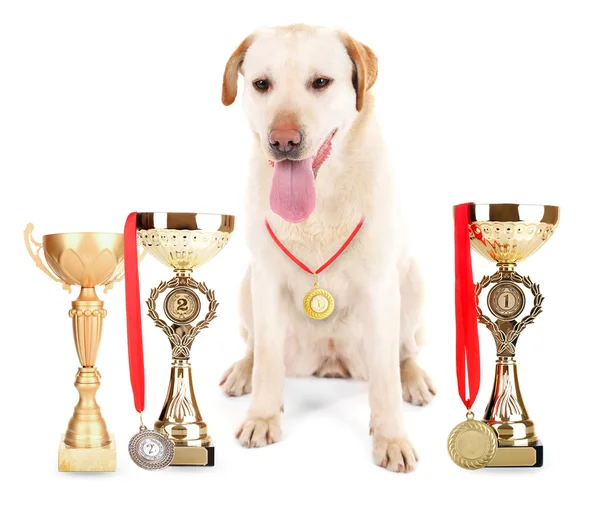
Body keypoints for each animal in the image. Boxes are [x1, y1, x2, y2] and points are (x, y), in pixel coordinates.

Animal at [218, 24, 434, 472]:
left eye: (320, 82)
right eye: (261, 84)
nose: (283, 141)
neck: (318, 204)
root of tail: (331, 363)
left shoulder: (381, 287)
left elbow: (386, 379)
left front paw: (391, 437)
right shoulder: (266, 279)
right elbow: (267, 360)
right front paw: (262, 416)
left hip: (412, 284)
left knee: (404, 351)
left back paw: (414, 377)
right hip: (247, 285)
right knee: (256, 347)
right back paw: (243, 369)